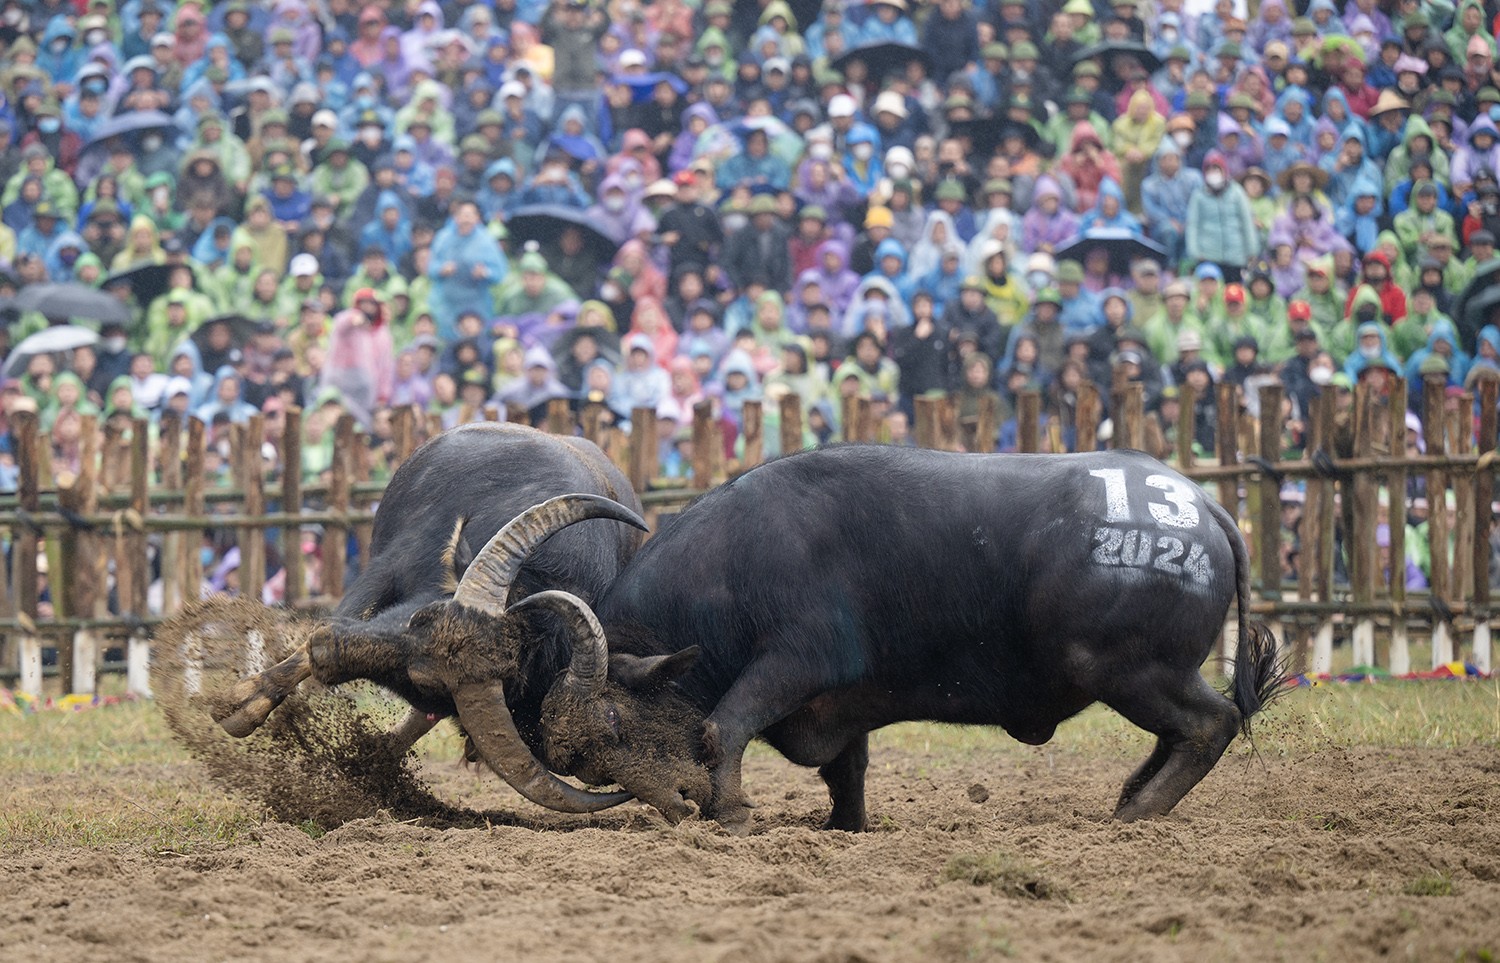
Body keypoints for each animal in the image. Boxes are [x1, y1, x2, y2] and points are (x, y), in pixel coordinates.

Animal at [214, 420, 654, 810]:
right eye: (423, 617)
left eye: (424, 677)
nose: (327, 646)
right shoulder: (388, 566)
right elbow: (327, 625)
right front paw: (248, 700)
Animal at [540, 444, 1290, 828]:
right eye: (589, 764)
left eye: (613, 725)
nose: (678, 806)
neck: (737, 560)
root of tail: (1204, 505)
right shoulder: (839, 705)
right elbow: (846, 770)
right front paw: (846, 827)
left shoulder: (794, 662)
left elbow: (722, 726)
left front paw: (732, 811)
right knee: (1187, 730)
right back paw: (1133, 795)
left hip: (1130, 667)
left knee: (1212, 722)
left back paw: (1137, 811)